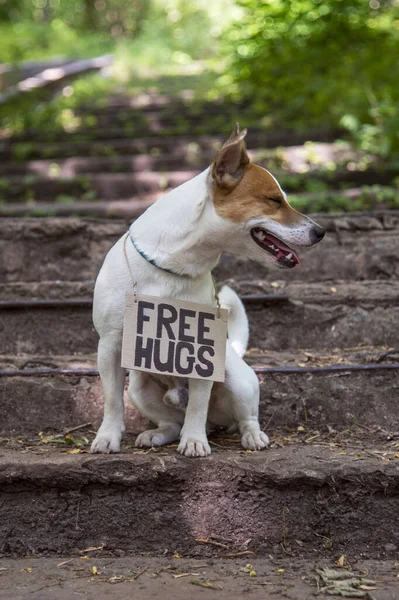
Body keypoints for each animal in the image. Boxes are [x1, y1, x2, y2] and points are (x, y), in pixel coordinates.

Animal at [90, 124, 324, 458]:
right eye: (274, 200)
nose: (321, 231)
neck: (171, 262)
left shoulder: (202, 353)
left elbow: (198, 406)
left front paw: (194, 441)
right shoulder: (109, 347)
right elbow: (111, 401)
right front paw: (108, 436)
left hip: (239, 382)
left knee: (244, 418)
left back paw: (251, 436)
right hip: (138, 387)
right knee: (172, 423)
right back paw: (157, 434)